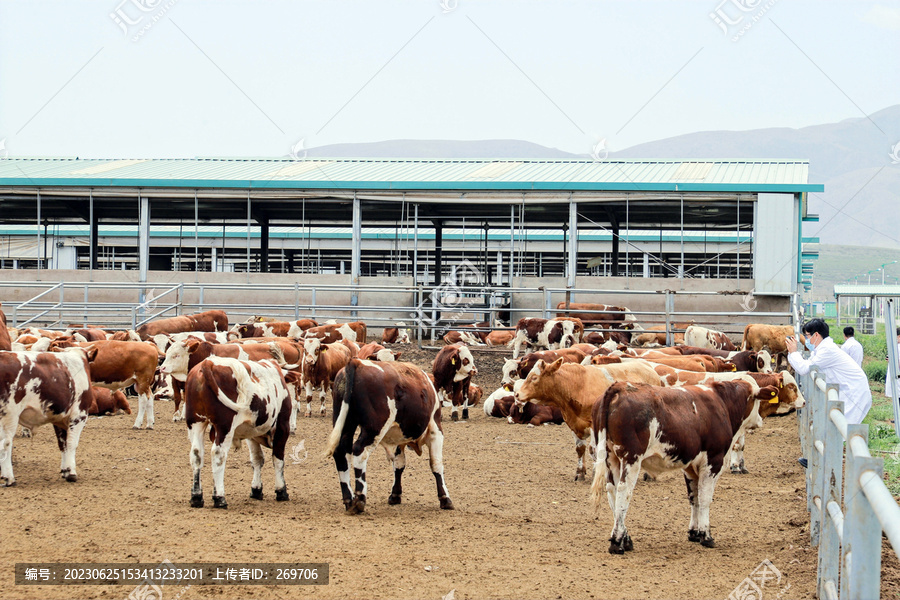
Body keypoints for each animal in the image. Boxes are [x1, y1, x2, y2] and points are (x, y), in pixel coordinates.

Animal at [0, 350, 93, 486]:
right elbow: (72, 443)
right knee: (6, 443)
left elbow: (63, 444)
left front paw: (65, 470)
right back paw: (9, 478)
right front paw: (71, 472)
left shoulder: (59, 419)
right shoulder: (79, 415)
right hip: (9, 415)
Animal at [185, 358, 292, 508]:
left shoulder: (251, 434)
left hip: (196, 423)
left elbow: (257, 459)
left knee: (196, 454)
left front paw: (256, 490)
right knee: (218, 455)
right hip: (224, 428)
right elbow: (278, 460)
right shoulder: (283, 427)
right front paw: (281, 490)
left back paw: (196, 497)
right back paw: (219, 498)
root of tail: (208, 362)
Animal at [322, 358, 454, 512]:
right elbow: (436, 464)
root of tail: (357, 362)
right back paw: (360, 499)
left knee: (341, 453)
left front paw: (395, 495)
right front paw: (445, 498)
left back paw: (349, 499)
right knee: (359, 451)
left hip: (345, 422)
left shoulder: (399, 438)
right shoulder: (435, 431)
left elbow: (399, 464)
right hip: (374, 429)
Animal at [512, 358, 660, 480]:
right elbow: (580, 448)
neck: (578, 386)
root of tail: (650, 369)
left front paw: (595, 473)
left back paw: (650, 474)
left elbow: (594, 450)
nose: (517, 395)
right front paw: (580, 473)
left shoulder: (594, 425)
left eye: (534, 377)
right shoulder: (573, 424)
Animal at [596, 380, 792, 552]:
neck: (722, 402)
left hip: (611, 458)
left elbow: (694, 497)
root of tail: (620, 387)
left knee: (612, 492)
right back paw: (617, 542)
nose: (760, 420)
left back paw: (626, 538)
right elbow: (705, 498)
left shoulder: (690, 466)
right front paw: (706, 535)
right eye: (756, 399)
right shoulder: (713, 461)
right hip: (631, 459)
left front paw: (694, 533)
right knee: (623, 492)